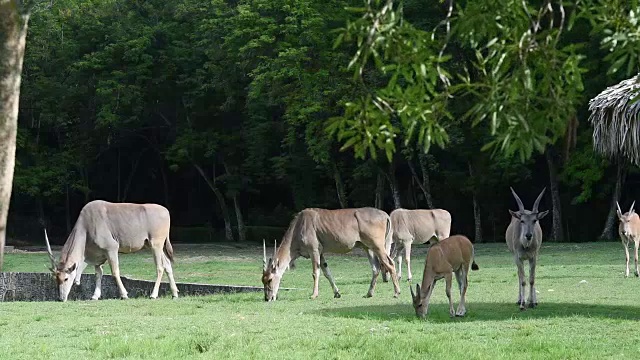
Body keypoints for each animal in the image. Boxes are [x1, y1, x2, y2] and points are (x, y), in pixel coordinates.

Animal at [44, 200, 178, 300]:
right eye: (56, 278)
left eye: (66, 278)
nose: (61, 298)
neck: (86, 226)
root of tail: (166, 211)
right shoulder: (97, 256)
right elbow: (98, 274)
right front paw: (95, 296)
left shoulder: (111, 249)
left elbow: (115, 272)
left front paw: (124, 295)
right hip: (154, 246)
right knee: (167, 264)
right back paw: (174, 293)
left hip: (156, 245)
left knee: (160, 267)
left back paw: (153, 295)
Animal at [262, 207, 400, 300]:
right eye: (262, 281)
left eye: (269, 280)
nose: (268, 298)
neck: (299, 226)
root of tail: (385, 215)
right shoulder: (321, 254)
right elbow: (327, 272)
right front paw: (337, 293)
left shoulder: (314, 251)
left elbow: (315, 273)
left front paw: (314, 295)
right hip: (368, 248)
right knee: (375, 268)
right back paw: (369, 293)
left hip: (378, 246)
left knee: (390, 264)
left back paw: (396, 292)